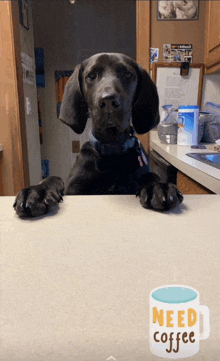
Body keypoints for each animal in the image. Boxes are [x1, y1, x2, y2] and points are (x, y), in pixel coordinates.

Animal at [12, 52, 183, 217]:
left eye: (127, 74)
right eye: (91, 75)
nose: (108, 101)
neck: (111, 151)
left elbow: (152, 176)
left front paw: (158, 187)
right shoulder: (74, 190)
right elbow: (54, 177)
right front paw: (37, 192)